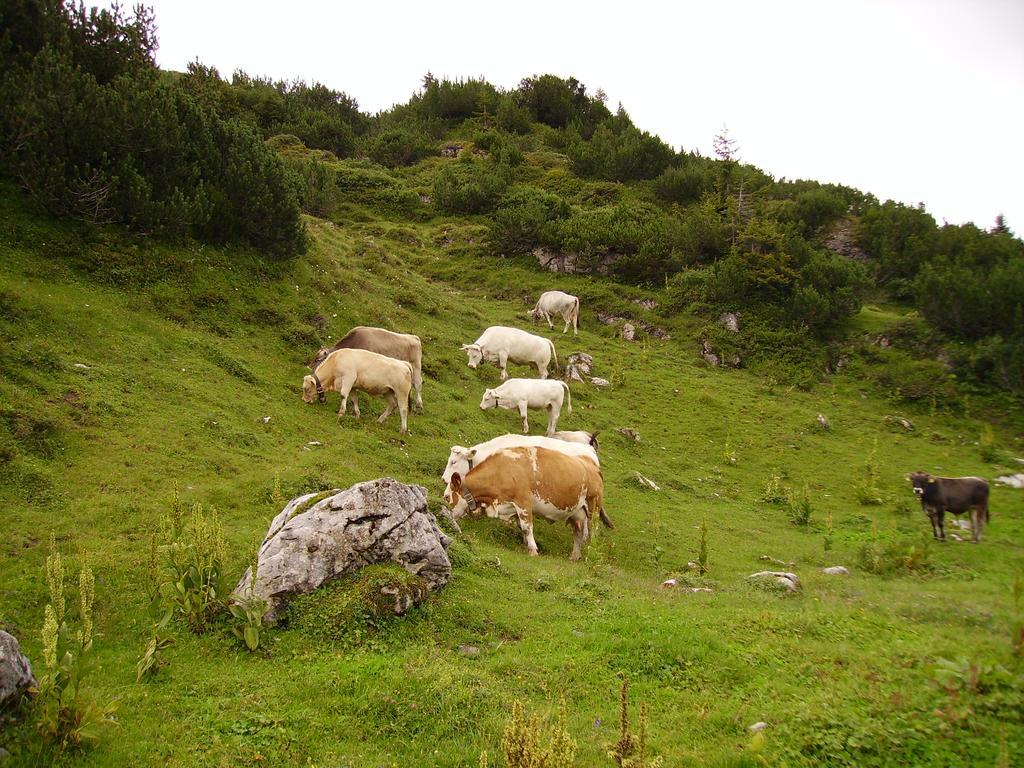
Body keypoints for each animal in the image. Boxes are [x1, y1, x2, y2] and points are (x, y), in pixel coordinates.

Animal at [444, 448, 610, 561]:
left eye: (447, 497)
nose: (446, 516)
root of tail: (591, 463)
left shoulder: (523, 502)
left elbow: (527, 527)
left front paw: (533, 550)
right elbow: (521, 527)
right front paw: (526, 545)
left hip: (593, 506)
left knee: (593, 531)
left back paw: (590, 550)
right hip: (576, 512)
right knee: (577, 533)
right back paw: (575, 556)